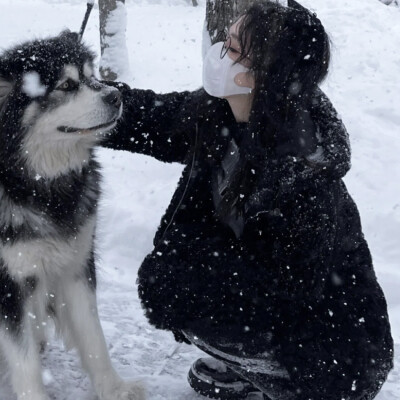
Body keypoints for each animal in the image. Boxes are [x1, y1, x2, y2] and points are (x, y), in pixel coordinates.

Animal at [0, 30, 144, 400]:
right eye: (66, 86)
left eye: (92, 76)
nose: (116, 94)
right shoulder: (9, 283)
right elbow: (22, 357)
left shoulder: (76, 264)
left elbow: (93, 336)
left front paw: (113, 387)